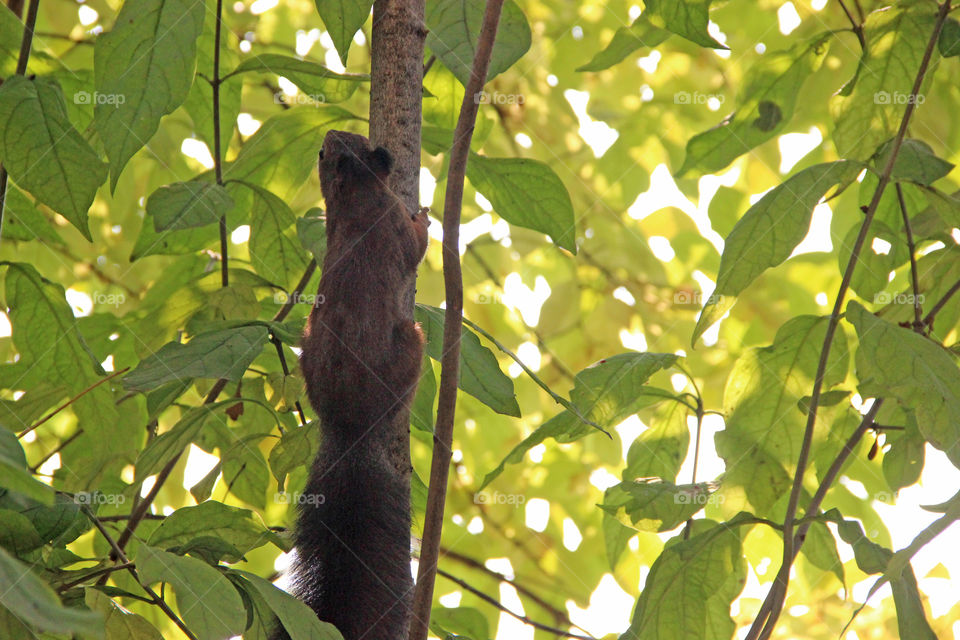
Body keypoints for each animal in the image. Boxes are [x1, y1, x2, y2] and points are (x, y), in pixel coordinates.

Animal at [272, 131, 429, 640]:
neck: (355, 195)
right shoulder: (394, 223)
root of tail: (349, 427)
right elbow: (417, 243)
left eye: (332, 147)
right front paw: (427, 218)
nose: (326, 136)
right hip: (412, 344)